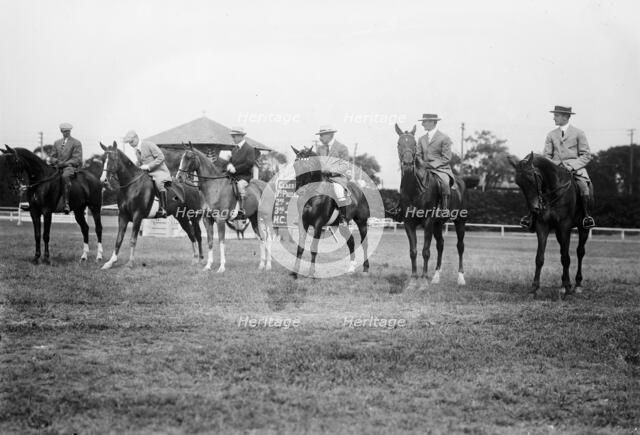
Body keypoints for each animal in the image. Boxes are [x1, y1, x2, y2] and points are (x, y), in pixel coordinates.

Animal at [175, 143, 272, 272]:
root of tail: (266, 185)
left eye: (190, 157)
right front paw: (208, 266)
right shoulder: (207, 220)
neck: (214, 187)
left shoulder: (220, 220)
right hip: (253, 219)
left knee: (268, 239)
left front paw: (221, 267)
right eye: (182, 157)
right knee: (261, 238)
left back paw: (268, 265)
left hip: (266, 219)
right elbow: (210, 242)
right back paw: (261, 265)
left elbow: (221, 242)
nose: (179, 177)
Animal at [289, 146, 370, 278]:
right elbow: (300, 247)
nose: (300, 190)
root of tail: (358, 190)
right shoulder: (303, 223)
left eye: (307, 164)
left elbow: (313, 248)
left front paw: (311, 273)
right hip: (342, 225)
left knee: (364, 243)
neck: (313, 194)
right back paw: (351, 268)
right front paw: (294, 272)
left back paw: (366, 269)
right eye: (295, 165)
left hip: (362, 222)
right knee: (351, 242)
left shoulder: (318, 224)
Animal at [394, 124, 467, 291]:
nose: (408, 165)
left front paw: (423, 282)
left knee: (460, 246)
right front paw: (413, 281)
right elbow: (413, 251)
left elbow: (425, 251)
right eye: (399, 144)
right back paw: (436, 277)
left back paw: (461, 278)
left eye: (414, 144)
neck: (414, 189)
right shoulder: (409, 223)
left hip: (459, 221)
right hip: (438, 225)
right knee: (440, 245)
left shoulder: (427, 222)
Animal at [511, 152, 590, 299]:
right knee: (563, 252)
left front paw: (568, 289)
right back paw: (563, 285)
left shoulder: (565, 226)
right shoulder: (542, 226)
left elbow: (566, 258)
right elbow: (539, 258)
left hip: (583, 229)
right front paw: (534, 289)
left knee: (580, 252)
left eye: (531, 179)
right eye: (519, 183)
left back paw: (577, 285)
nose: (535, 208)